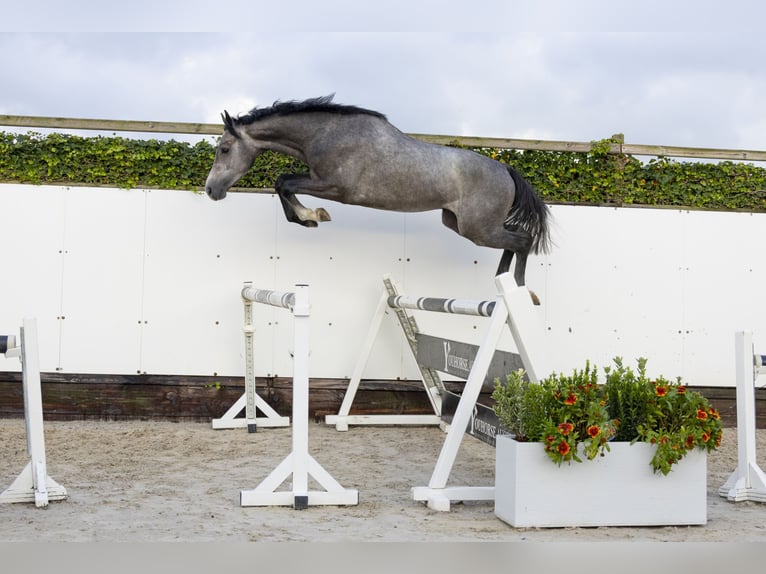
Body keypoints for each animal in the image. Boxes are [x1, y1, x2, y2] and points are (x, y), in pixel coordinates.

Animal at [204, 95, 552, 292]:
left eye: (224, 149)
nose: (210, 190)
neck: (326, 134)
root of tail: (505, 169)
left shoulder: (335, 187)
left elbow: (283, 183)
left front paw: (312, 216)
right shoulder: (318, 179)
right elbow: (282, 182)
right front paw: (310, 217)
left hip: (477, 228)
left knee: (523, 240)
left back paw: (521, 289)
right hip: (458, 223)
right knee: (515, 240)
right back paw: (503, 283)